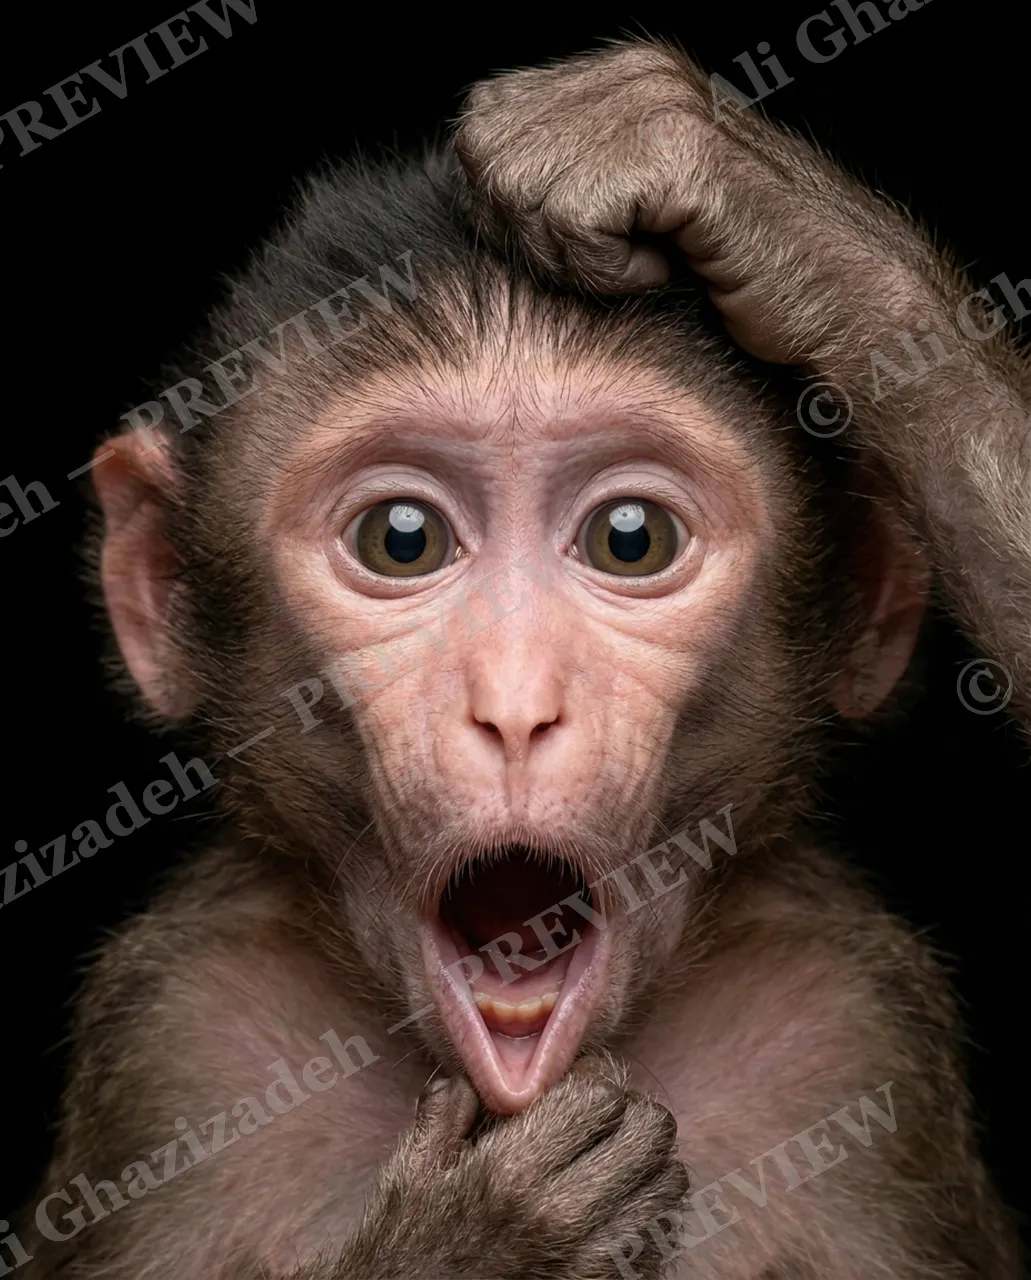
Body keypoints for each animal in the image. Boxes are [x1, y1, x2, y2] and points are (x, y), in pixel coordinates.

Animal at [13, 34, 1027, 1280]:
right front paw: (477, 1234)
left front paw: (752, 202)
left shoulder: (855, 1024)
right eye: (401, 539)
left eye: (629, 538)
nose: (512, 706)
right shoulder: (174, 1037)